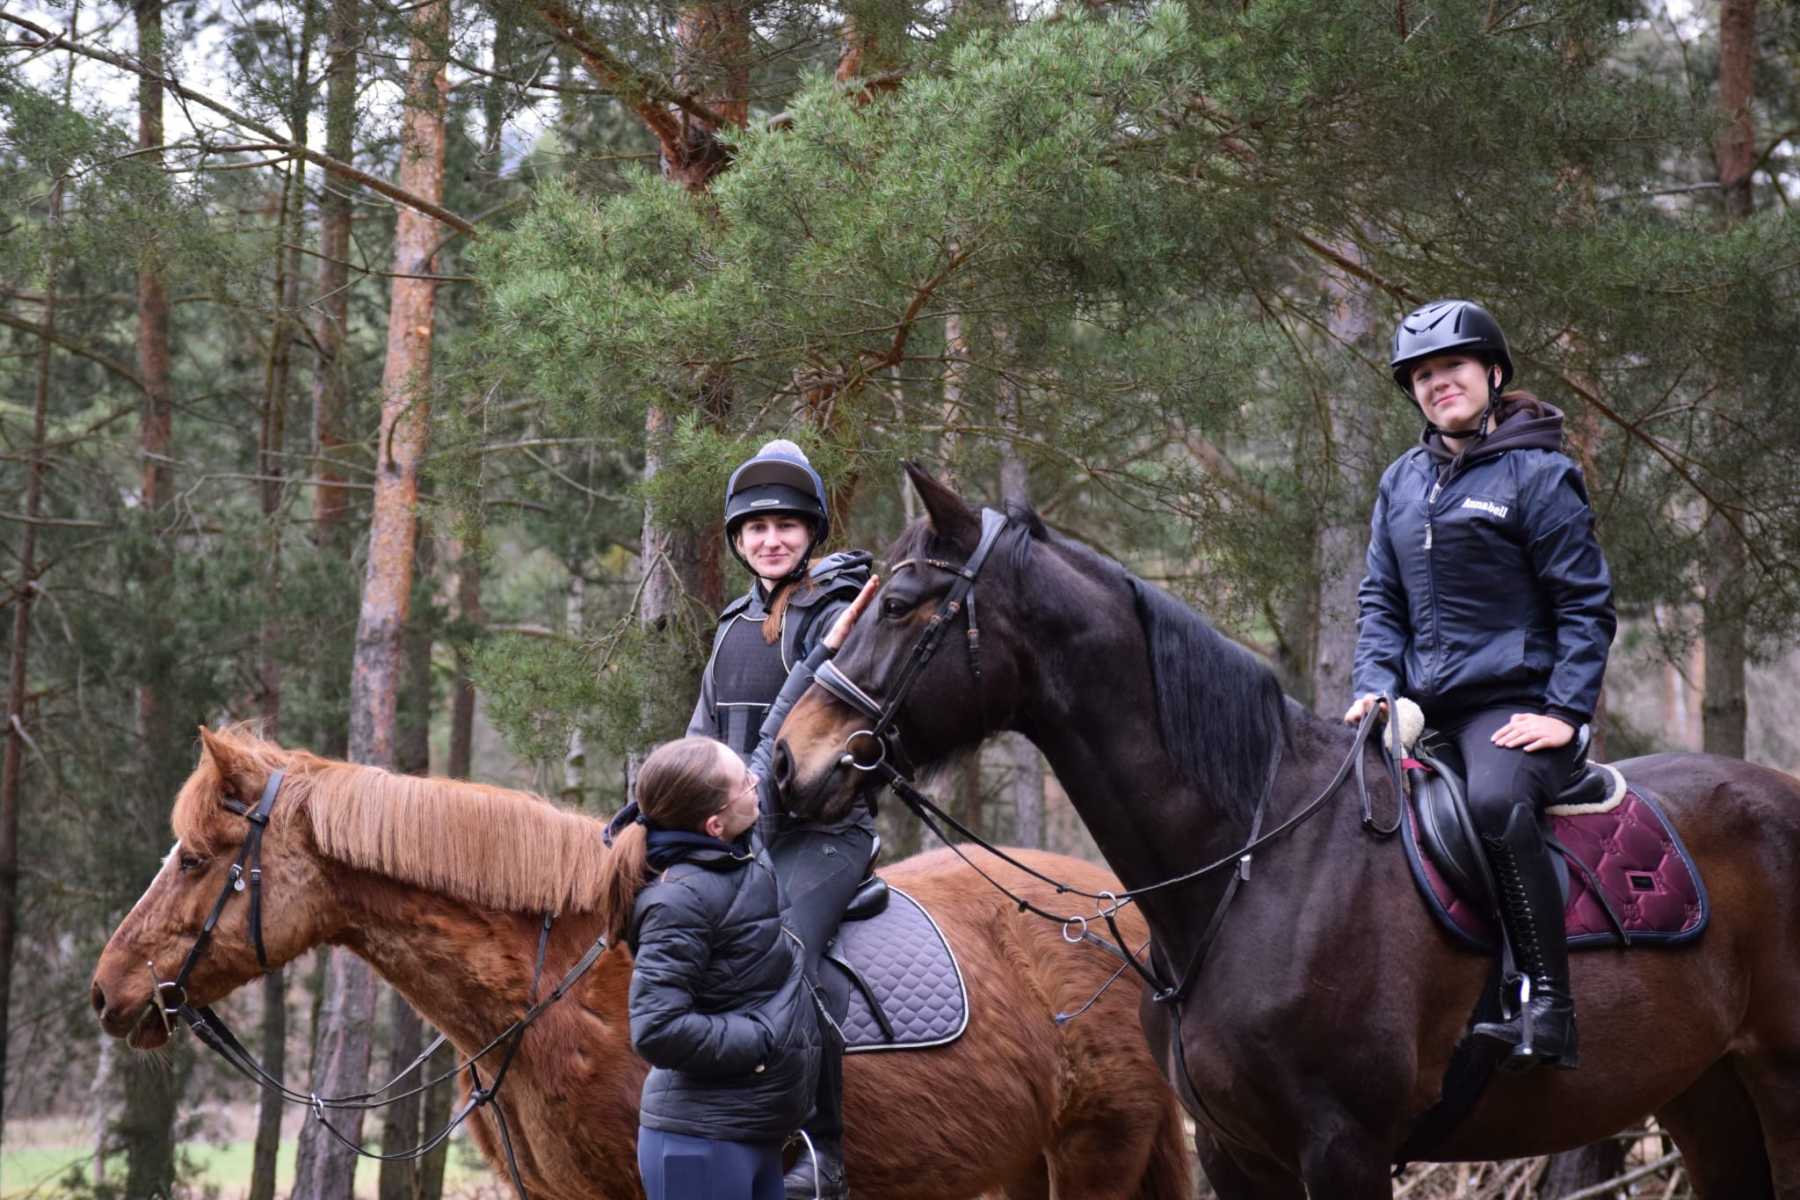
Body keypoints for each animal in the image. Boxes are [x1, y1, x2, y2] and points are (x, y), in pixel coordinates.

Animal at [771, 465, 1800, 1199]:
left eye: (897, 603)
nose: (787, 763)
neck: (1257, 866)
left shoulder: (1345, 1150)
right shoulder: (1240, 1154)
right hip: (1707, 1095)